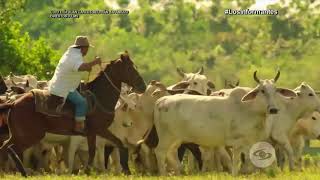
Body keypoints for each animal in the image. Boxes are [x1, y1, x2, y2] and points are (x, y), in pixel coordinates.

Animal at [0, 52, 146, 176]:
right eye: (130, 69)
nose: (143, 87)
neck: (99, 97)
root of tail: (13, 103)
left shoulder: (96, 132)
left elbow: (117, 145)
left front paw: (124, 169)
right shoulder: (97, 130)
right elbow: (95, 150)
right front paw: (88, 170)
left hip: (19, 134)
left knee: (6, 147)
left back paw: (21, 172)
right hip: (31, 135)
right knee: (11, 148)